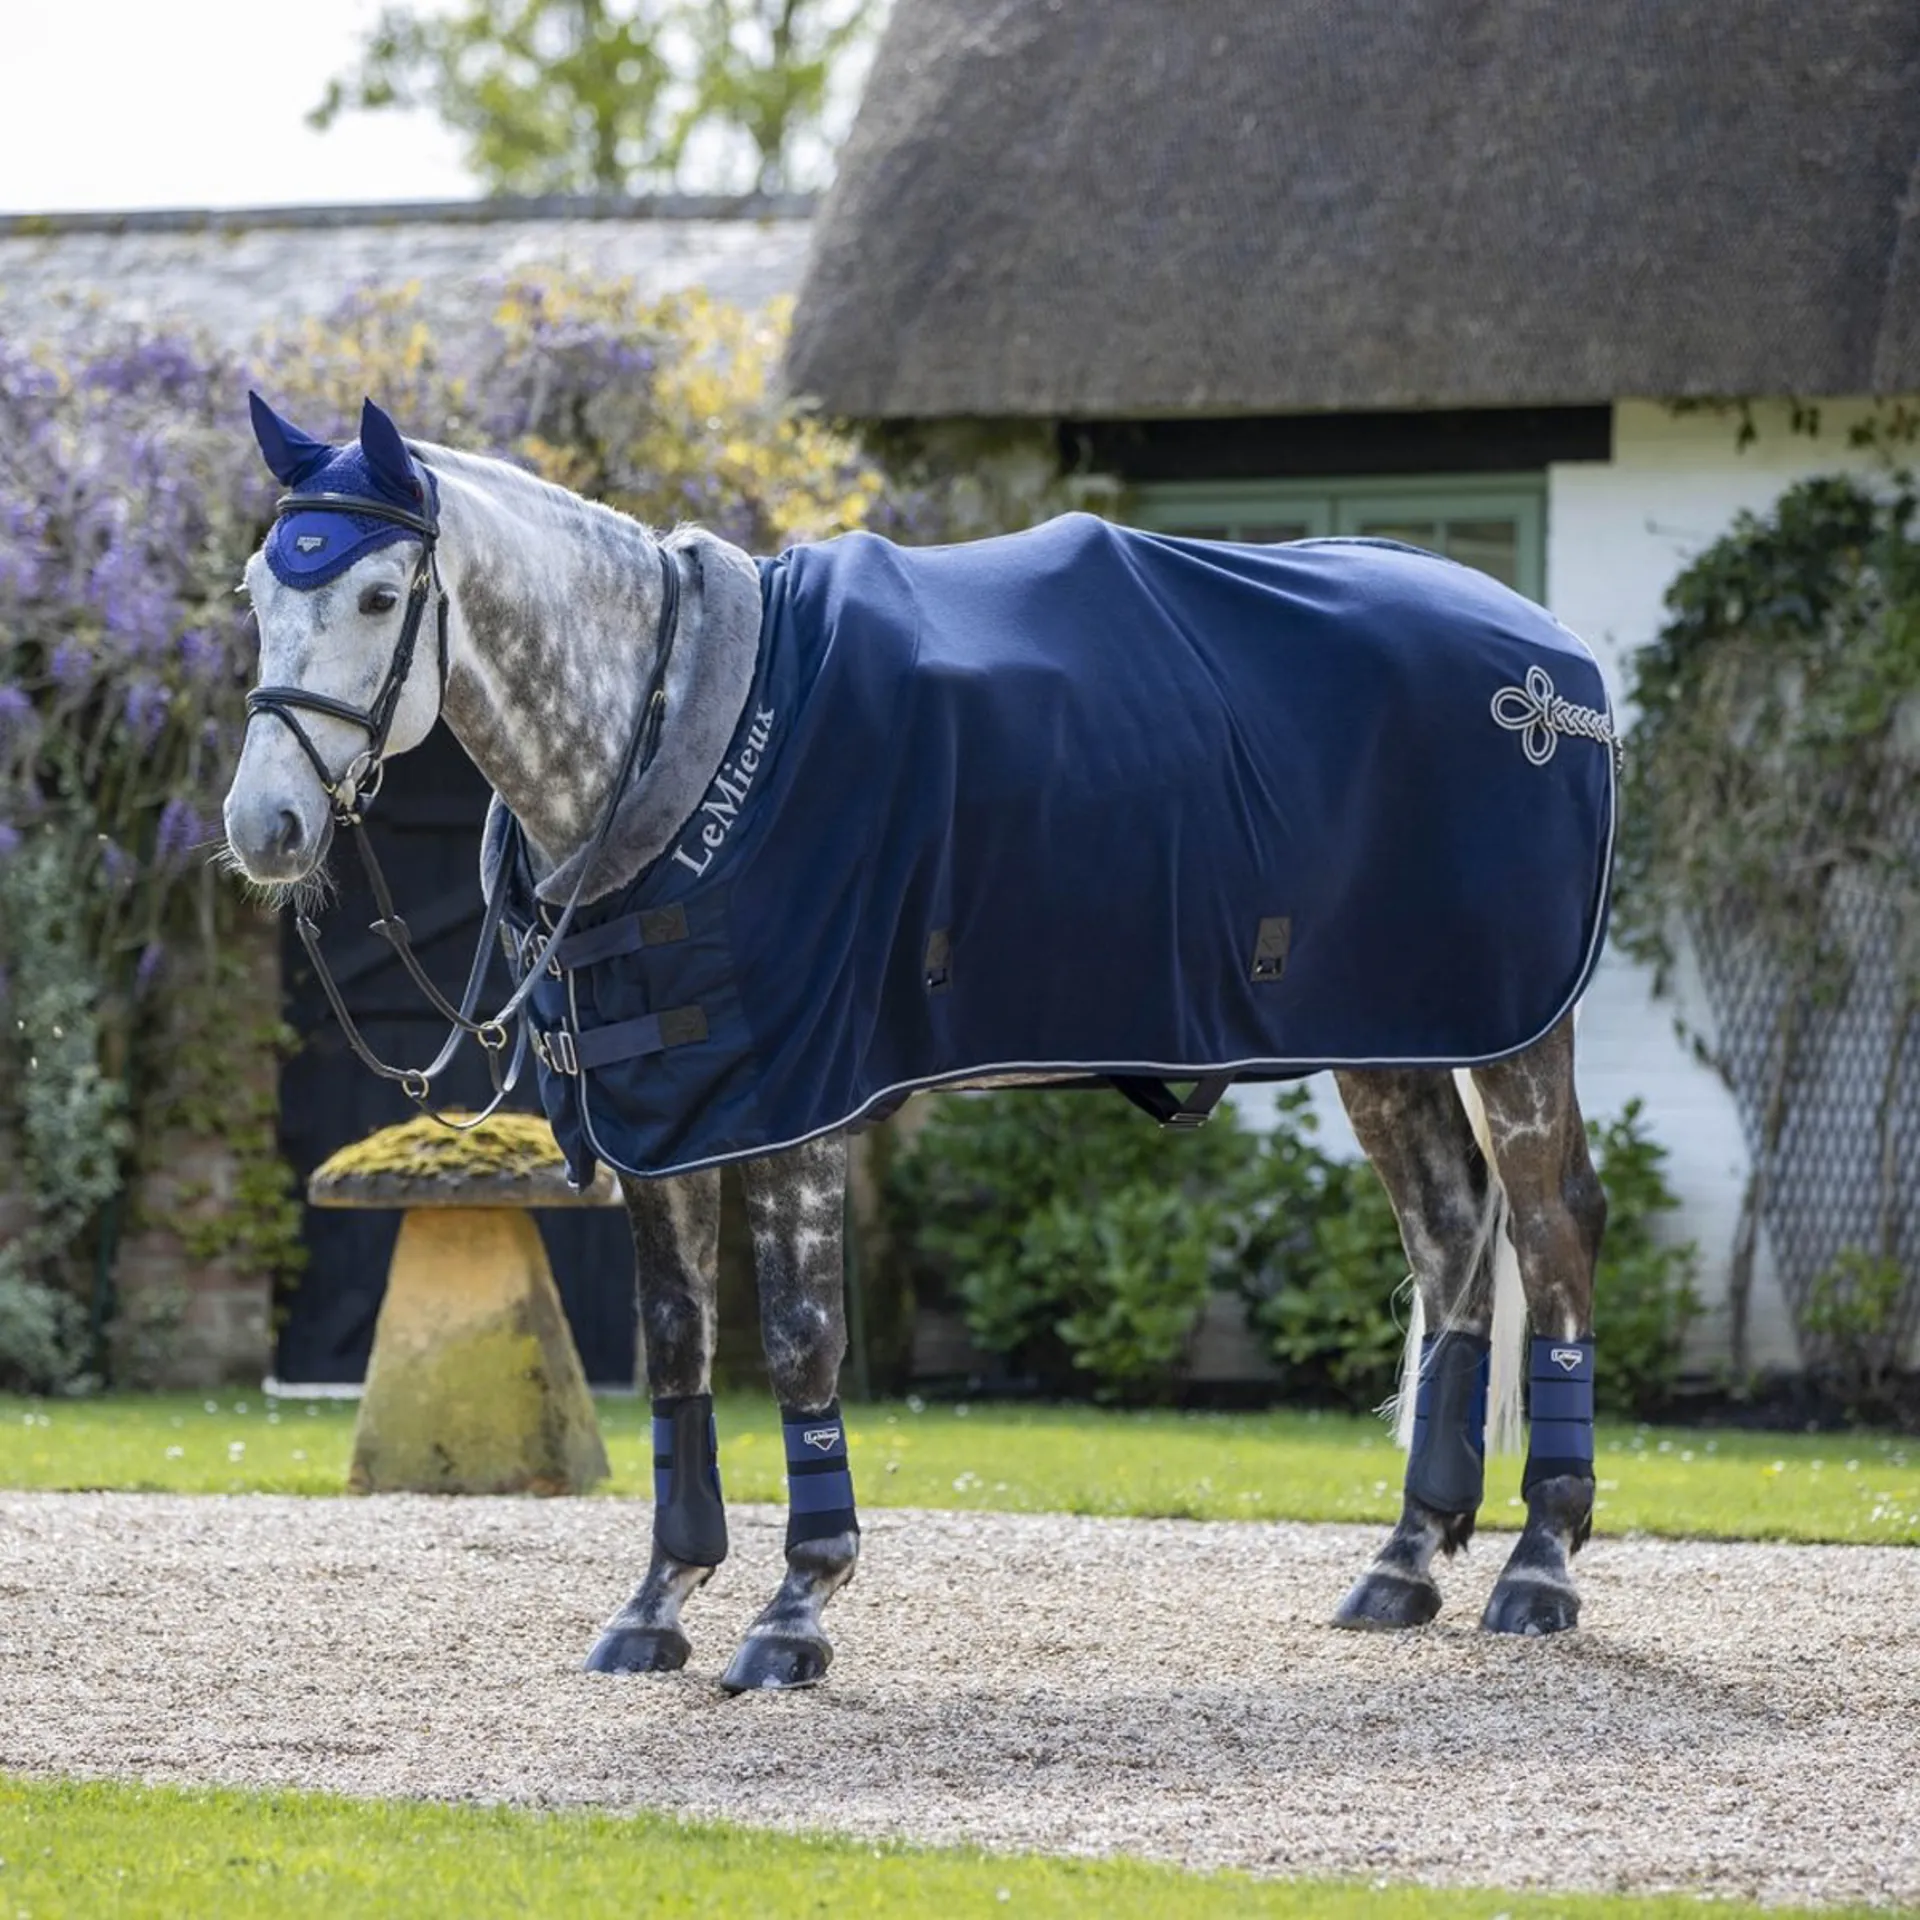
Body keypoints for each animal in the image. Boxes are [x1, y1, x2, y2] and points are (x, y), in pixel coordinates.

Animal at [223, 393, 1613, 1691]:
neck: (678, 745)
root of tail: (1553, 666)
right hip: (1396, 1040)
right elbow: (676, 1346)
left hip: (1514, 1037)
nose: (264, 826)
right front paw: (660, 1600)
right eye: (256, 590)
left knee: (1550, 1233)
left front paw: (796, 1609)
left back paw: (1539, 1562)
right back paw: (1407, 1559)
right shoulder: (667, 1120)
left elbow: (798, 1341)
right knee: (1449, 1239)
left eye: (378, 592)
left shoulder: (797, 1112)